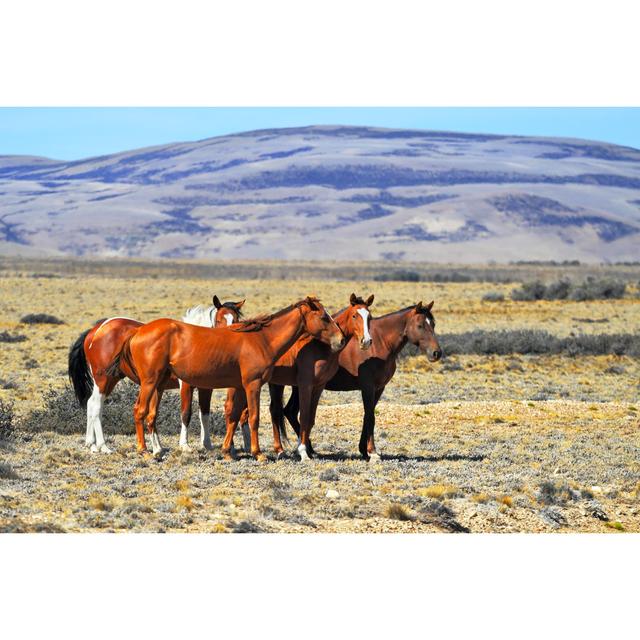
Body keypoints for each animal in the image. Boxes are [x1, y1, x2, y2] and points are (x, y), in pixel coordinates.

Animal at [105, 298, 344, 458]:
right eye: (324, 317)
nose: (341, 340)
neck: (261, 340)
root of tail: (138, 332)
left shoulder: (238, 387)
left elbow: (234, 416)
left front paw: (228, 451)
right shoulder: (253, 385)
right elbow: (254, 418)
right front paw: (258, 453)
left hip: (159, 384)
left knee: (150, 415)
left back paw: (157, 449)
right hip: (150, 382)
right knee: (140, 411)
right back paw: (144, 450)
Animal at [225, 292, 376, 462]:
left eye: (369, 317)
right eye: (355, 315)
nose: (366, 341)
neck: (320, 347)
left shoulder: (319, 386)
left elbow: (311, 418)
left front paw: (309, 450)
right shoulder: (305, 385)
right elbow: (303, 416)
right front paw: (303, 452)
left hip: (274, 384)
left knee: (273, 411)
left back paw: (279, 450)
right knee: (231, 409)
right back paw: (232, 450)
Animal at [282, 300, 442, 460]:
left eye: (433, 324)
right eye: (420, 325)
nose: (437, 353)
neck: (380, 343)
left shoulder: (379, 388)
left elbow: (368, 416)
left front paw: (364, 450)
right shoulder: (368, 387)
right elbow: (370, 417)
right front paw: (373, 452)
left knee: (290, 411)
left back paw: (309, 449)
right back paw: (307, 449)